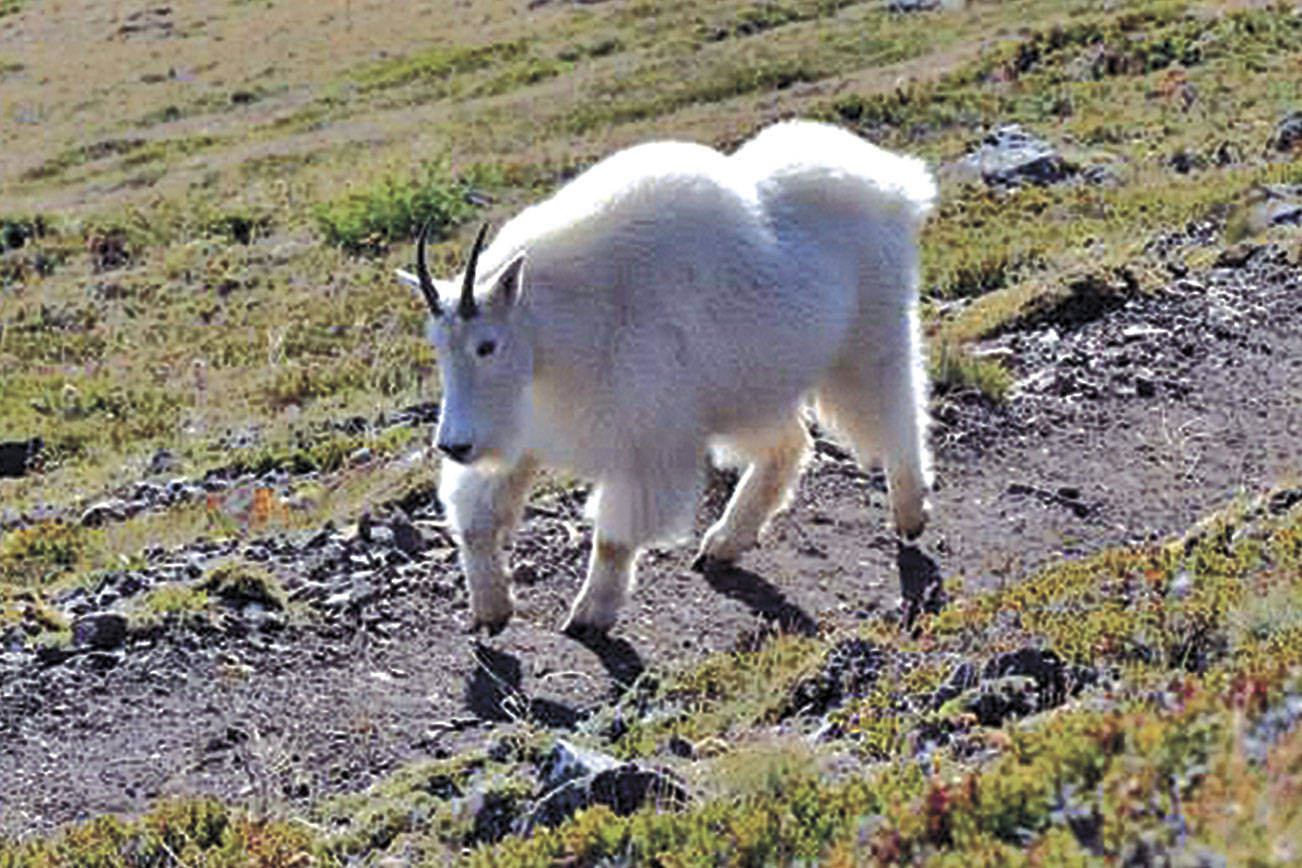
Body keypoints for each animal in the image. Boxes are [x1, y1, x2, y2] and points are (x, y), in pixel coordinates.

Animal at [396, 120, 936, 635]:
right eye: (439, 347)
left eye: (487, 345)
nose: (454, 446)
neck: (561, 330)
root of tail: (896, 184)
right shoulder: (524, 432)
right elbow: (478, 521)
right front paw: (492, 610)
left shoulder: (645, 442)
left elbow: (614, 537)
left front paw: (589, 616)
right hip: (752, 389)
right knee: (790, 444)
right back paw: (723, 544)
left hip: (869, 341)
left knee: (897, 415)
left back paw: (910, 514)